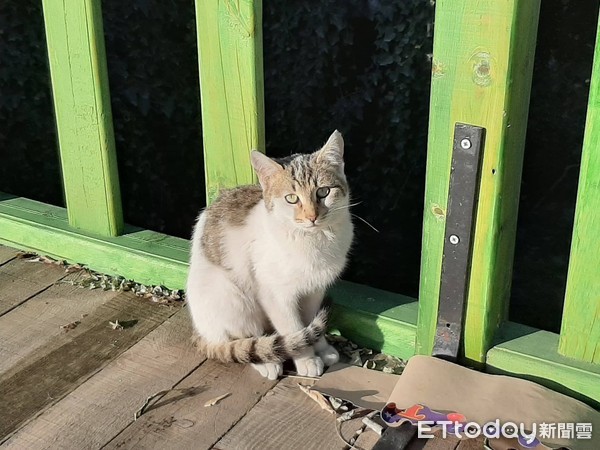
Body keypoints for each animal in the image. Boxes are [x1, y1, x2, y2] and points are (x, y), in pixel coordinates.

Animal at [188, 131, 354, 380]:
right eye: (291, 198)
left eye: (323, 192)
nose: (312, 217)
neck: (314, 240)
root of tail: (202, 334)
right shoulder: (276, 295)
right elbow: (293, 327)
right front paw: (307, 360)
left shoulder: (314, 289)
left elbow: (310, 321)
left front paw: (323, 348)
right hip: (233, 297)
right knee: (242, 340)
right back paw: (266, 360)